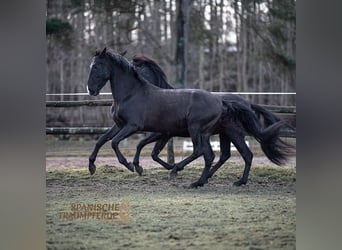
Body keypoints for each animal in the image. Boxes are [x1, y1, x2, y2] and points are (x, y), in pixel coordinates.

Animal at [87, 48, 292, 188]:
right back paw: (224, 181)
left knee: (205, 152)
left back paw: (187, 175)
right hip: (220, 133)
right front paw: (92, 167)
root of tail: (222, 102)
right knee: (227, 155)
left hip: (200, 130)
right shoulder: (120, 125)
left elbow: (117, 143)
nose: (91, 90)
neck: (131, 94)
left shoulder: (135, 126)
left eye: (96, 66)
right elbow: (102, 140)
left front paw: (131, 166)